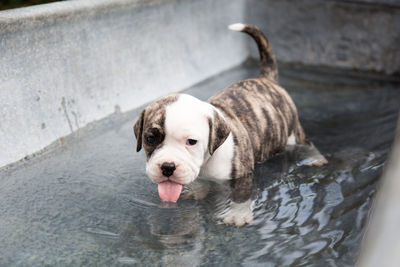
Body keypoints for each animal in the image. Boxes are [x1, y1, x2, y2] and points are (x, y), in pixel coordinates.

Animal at [134, 24, 328, 227]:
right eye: (150, 138)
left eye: (191, 142)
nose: (168, 167)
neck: (208, 160)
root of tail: (266, 79)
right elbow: (200, 183)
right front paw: (197, 191)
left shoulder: (242, 176)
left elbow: (241, 194)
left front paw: (237, 214)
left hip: (293, 131)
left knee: (305, 143)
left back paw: (315, 158)